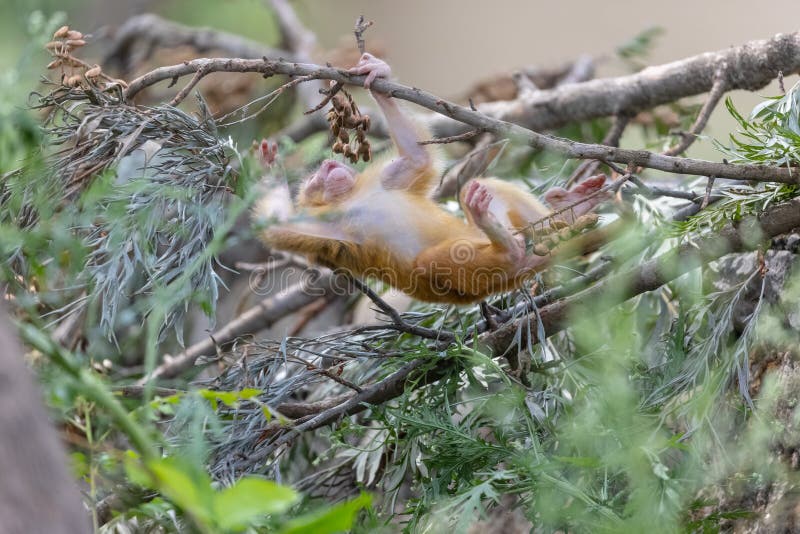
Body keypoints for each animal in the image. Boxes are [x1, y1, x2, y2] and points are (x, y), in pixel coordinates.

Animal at [258, 53, 608, 304]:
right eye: (315, 182)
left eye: (321, 173)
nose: (328, 167)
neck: (352, 198)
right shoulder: (327, 226)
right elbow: (278, 227)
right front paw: (268, 171)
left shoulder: (382, 181)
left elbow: (418, 158)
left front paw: (379, 75)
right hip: (476, 280)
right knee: (430, 262)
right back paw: (508, 249)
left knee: (484, 191)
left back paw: (571, 213)